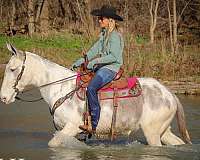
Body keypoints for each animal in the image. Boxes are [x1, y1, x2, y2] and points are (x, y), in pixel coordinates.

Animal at [0, 44, 191, 147]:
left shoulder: (72, 127)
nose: (3, 97)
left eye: (12, 69)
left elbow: (53, 144)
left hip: (152, 132)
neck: (61, 89)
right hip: (163, 131)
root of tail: (169, 93)